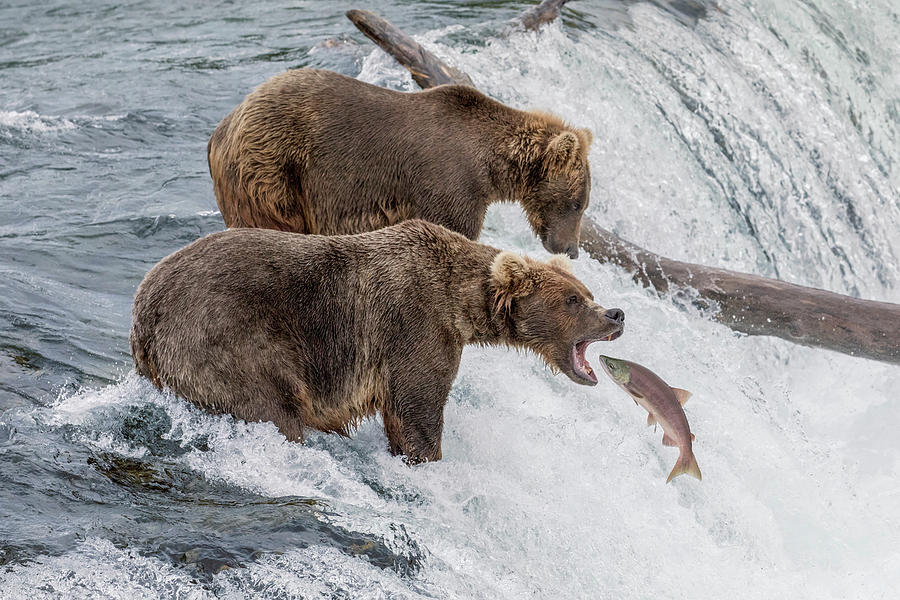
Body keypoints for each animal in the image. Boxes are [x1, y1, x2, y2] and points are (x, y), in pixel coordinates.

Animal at [130, 220, 624, 464]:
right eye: (574, 299)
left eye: (587, 292)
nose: (616, 315)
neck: (461, 303)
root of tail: (142, 311)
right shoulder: (415, 326)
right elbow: (416, 408)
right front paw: (424, 456)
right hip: (227, 341)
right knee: (272, 409)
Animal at [207, 68, 596, 260]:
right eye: (578, 203)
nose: (572, 250)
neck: (489, 165)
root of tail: (223, 126)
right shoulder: (450, 184)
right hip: (272, 167)